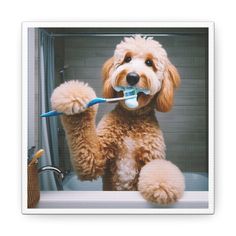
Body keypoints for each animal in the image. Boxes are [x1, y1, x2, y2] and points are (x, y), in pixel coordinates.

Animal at [51, 35, 184, 205]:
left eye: (149, 63)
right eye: (127, 59)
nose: (132, 76)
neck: (132, 118)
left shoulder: (151, 155)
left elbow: (158, 169)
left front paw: (162, 187)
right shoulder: (95, 159)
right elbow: (88, 153)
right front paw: (73, 97)